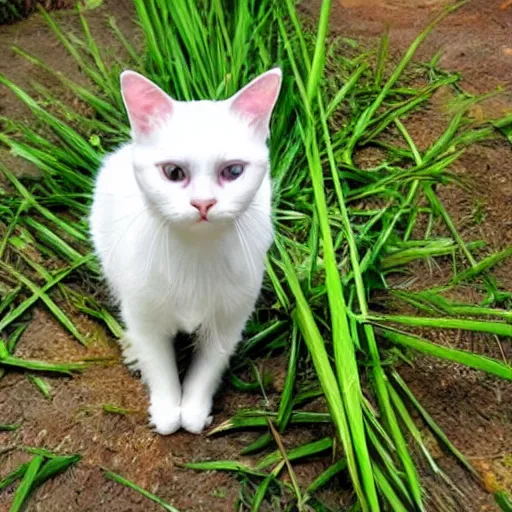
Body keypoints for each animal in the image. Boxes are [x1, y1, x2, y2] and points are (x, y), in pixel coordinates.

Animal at [88, 68, 280, 434]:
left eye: (234, 171)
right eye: (174, 173)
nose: (203, 203)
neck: (196, 251)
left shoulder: (229, 320)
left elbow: (208, 367)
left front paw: (192, 410)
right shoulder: (146, 314)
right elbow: (158, 363)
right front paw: (166, 411)